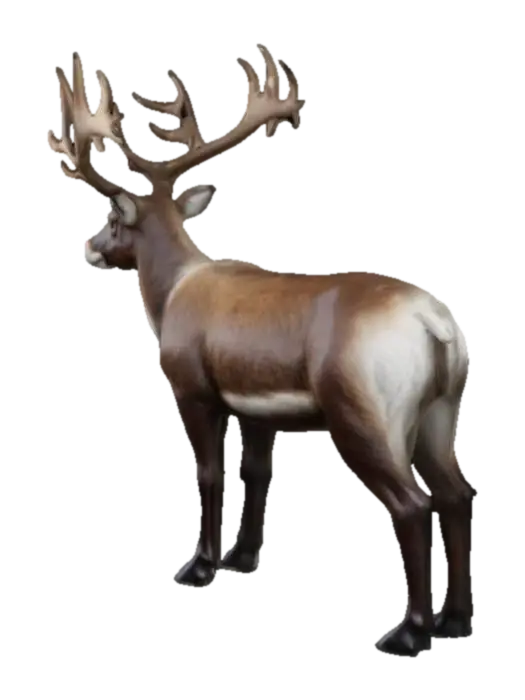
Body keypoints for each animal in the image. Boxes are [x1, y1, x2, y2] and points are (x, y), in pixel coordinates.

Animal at [49, 46, 472, 654]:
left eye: (111, 217)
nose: (87, 249)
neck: (171, 293)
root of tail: (433, 323)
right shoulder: (257, 411)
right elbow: (258, 473)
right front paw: (245, 558)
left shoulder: (193, 392)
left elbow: (209, 474)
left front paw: (200, 566)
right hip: (446, 410)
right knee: (458, 495)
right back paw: (458, 621)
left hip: (365, 412)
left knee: (411, 502)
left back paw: (407, 631)